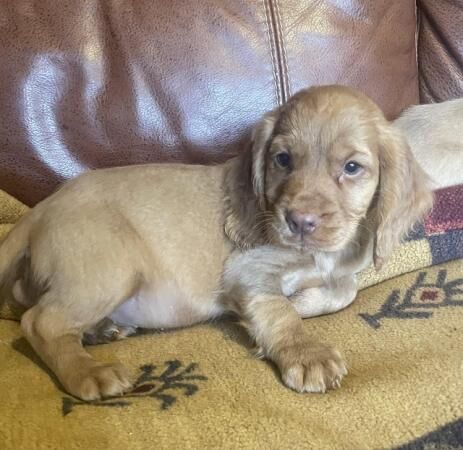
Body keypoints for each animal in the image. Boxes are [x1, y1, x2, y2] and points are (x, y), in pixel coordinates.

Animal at [0, 85, 436, 400]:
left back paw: (99, 331)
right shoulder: (249, 271)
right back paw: (88, 371)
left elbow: (344, 291)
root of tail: (40, 209)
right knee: (38, 320)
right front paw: (303, 349)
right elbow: (280, 312)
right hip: (112, 267)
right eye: (282, 160)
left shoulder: (338, 274)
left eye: (352, 167)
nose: (299, 222)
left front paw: (304, 301)